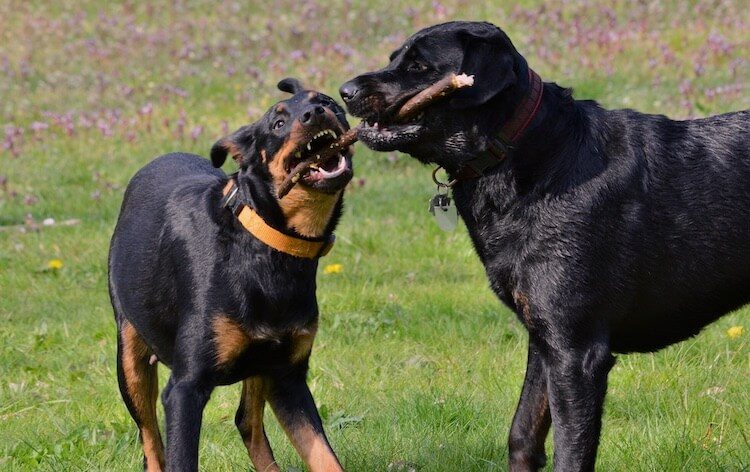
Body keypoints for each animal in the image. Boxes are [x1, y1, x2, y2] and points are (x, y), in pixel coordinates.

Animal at [107, 79, 354, 470]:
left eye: (328, 102)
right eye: (277, 124)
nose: (316, 113)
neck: (266, 247)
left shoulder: (288, 377)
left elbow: (324, 456)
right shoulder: (185, 388)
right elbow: (179, 457)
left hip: (261, 365)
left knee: (247, 421)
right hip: (130, 356)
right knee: (151, 442)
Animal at [342, 21, 750, 472]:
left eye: (418, 66)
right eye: (395, 57)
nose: (345, 91)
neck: (533, 158)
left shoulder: (576, 353)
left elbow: (570, 453)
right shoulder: (544, 339)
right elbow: (522, 434)